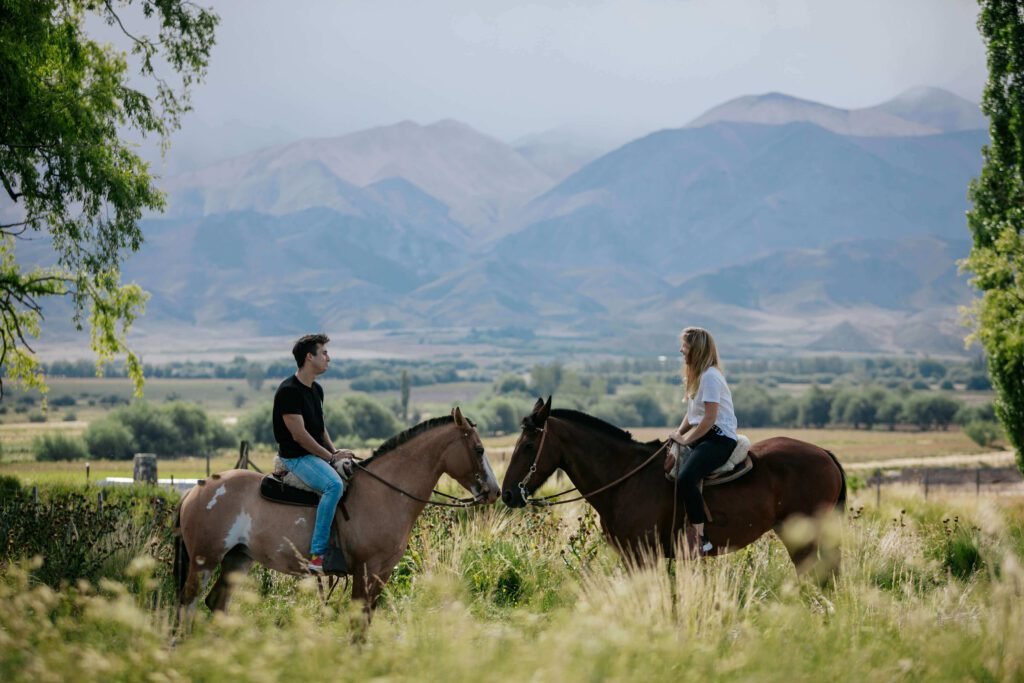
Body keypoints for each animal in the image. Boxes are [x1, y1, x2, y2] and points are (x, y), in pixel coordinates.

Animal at [173, 409, 499, 622]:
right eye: (478, 449)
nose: (494, 491)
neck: (385, 493)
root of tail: (196, 490)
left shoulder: (381, 573)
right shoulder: (365, 571)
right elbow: (358, 623)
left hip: (238, 559)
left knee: (216, 603)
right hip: (205, 560)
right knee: (187, 605)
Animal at [501, 397, 847, 581]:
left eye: (529, 445)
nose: (507, 494)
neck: (625, 478)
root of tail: (824, 454)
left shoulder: (643, 555)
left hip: (802, 534)